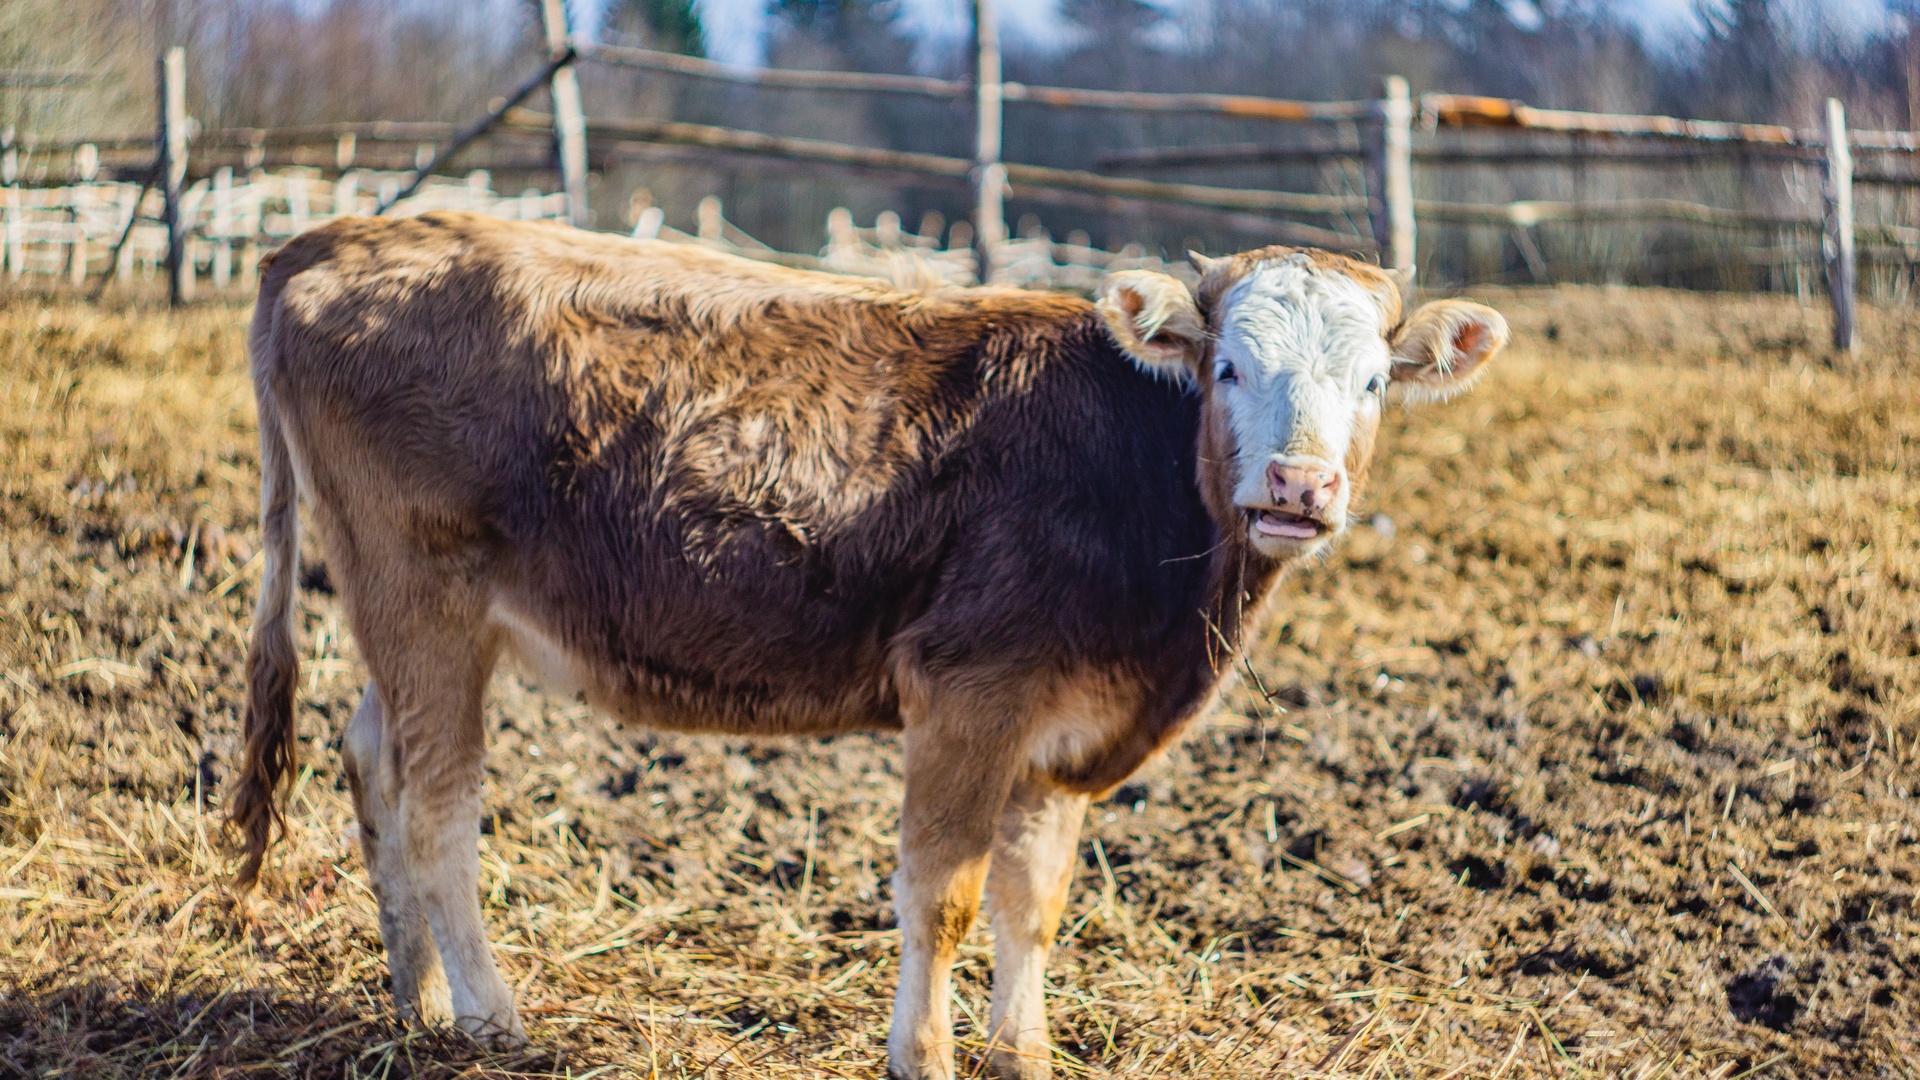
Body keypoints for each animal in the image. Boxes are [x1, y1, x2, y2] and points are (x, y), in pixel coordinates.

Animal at [228, 212, 1512, 1076]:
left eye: (1371, 381)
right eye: (1230, 366)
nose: (1300, 485)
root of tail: (341, 234)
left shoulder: (1062, 729)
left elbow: (1033, 901)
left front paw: (1022, 1051)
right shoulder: (970, 693)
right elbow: (943, 896)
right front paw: (926, 1055)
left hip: (408, 616)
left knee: (372, 763)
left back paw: (419, 1002)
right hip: (425, 595)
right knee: (438, 806)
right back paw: (494, 1017)